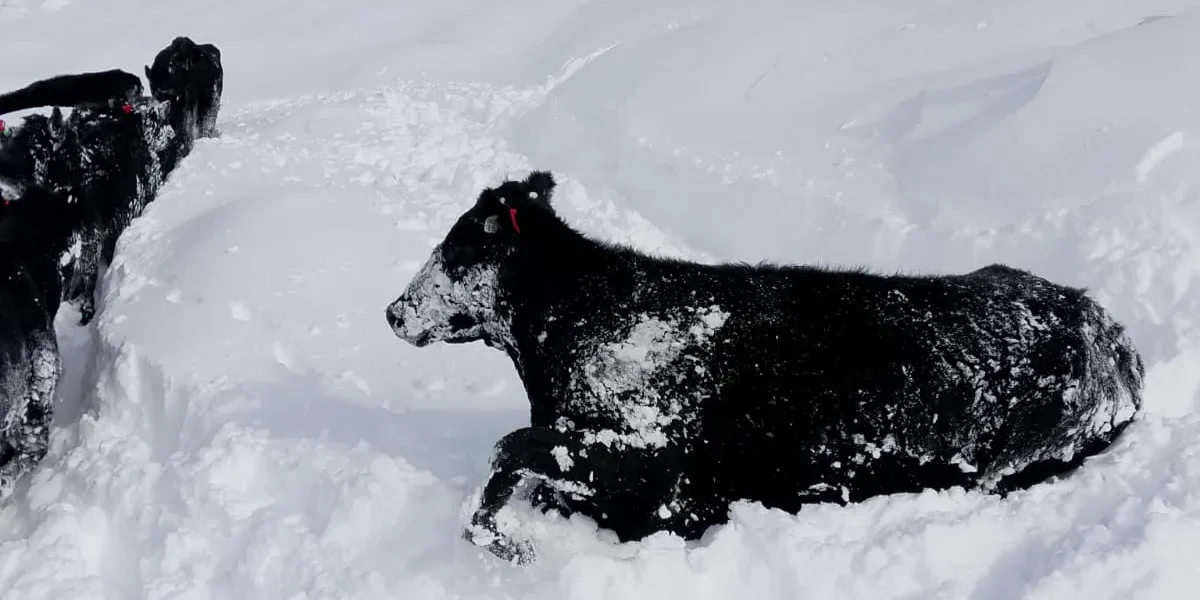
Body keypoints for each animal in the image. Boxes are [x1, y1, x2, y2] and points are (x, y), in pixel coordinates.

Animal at [385, 171, 1145, 565]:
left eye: (457, 251)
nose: (393, 311)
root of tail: (1108, 332)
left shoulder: (655, 472)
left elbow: (511, 449)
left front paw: (501, 541)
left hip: (1012, 461)